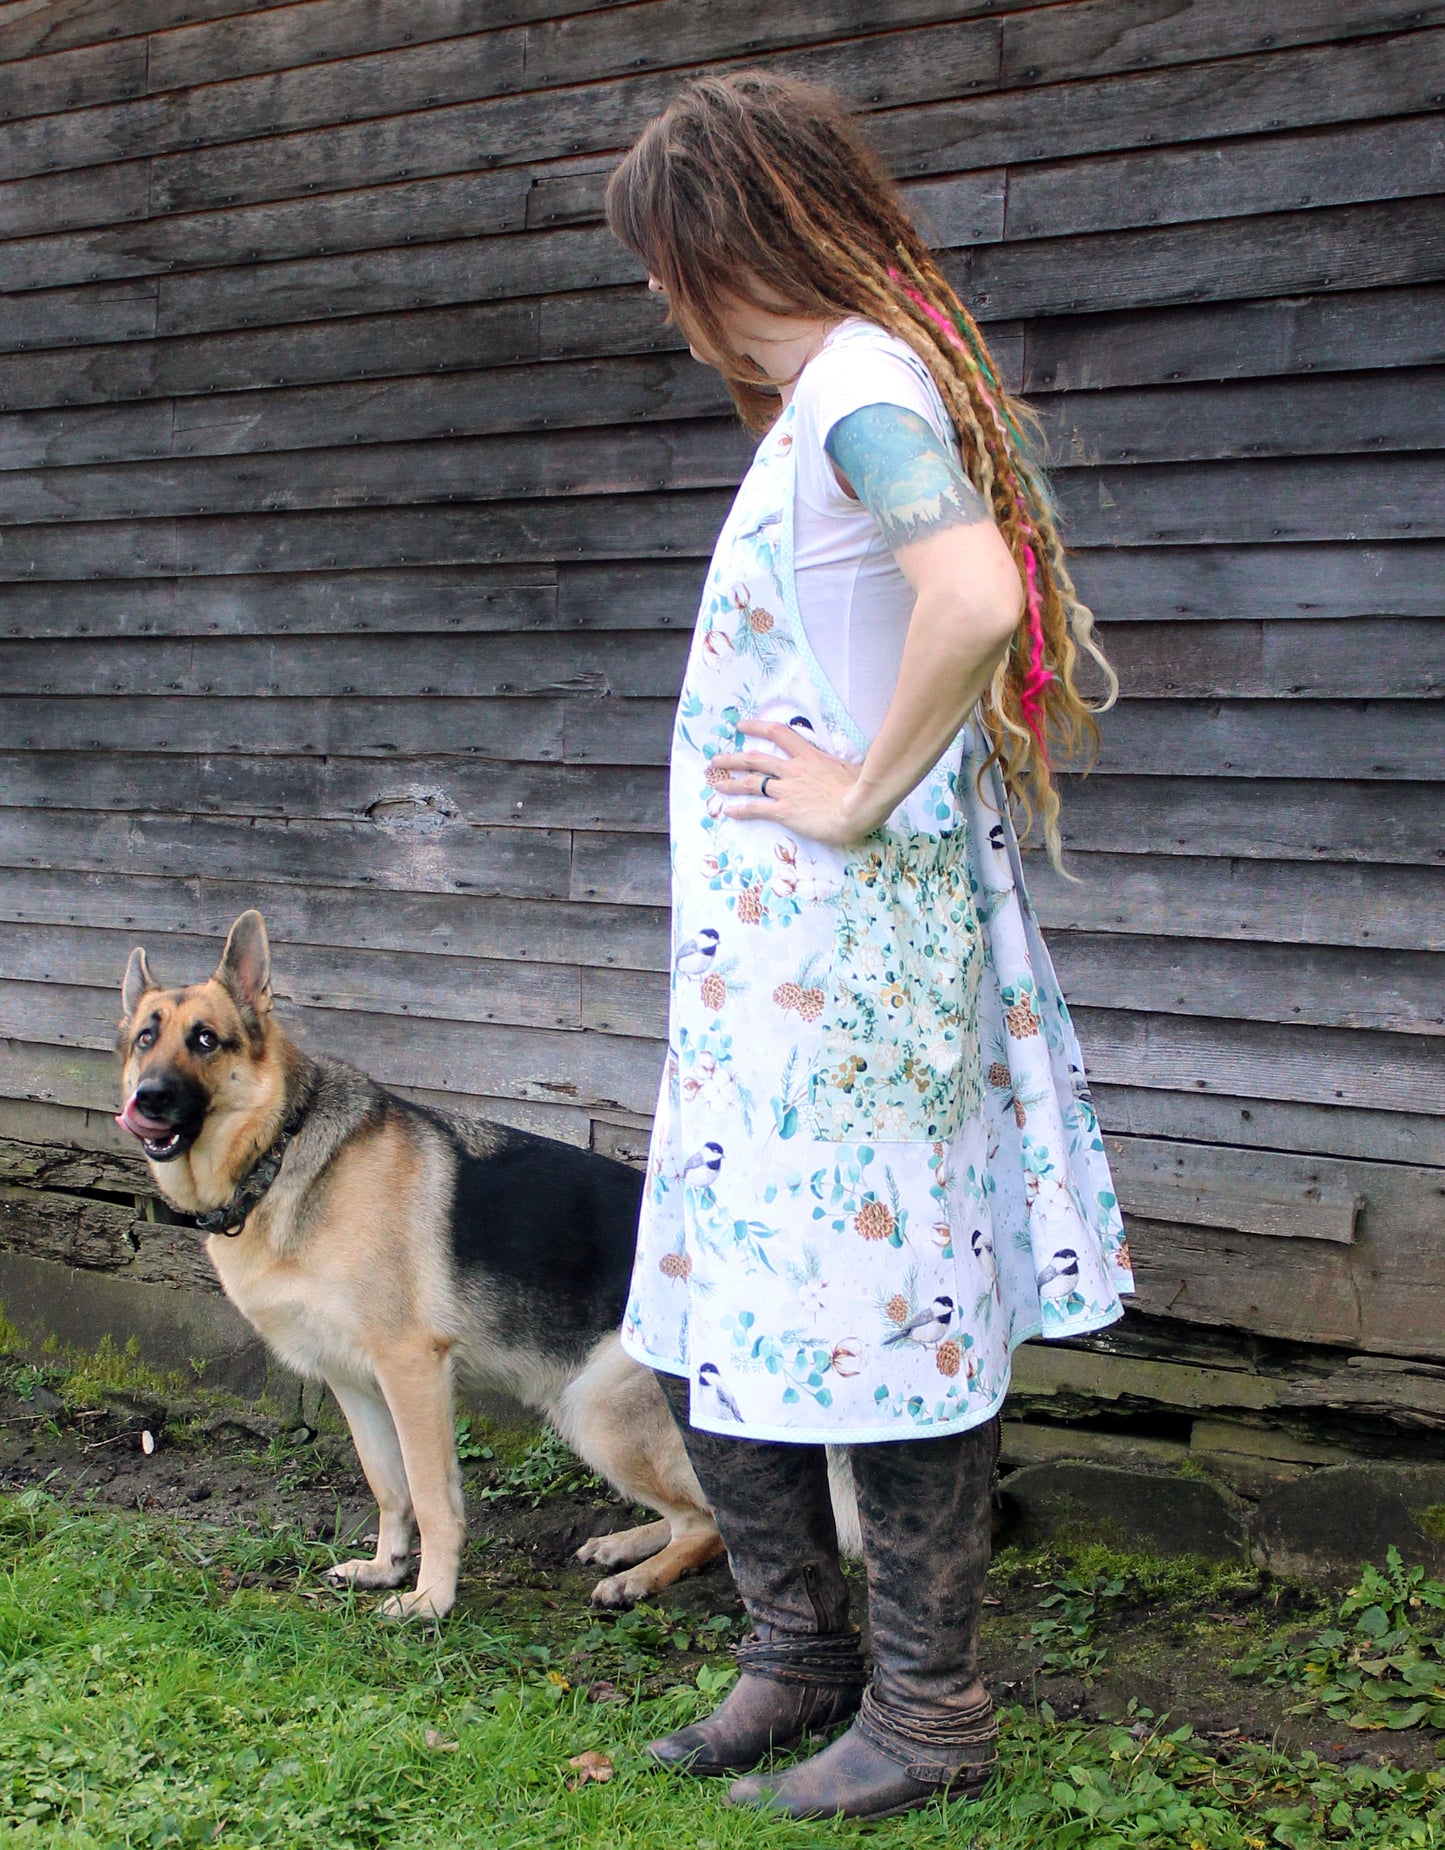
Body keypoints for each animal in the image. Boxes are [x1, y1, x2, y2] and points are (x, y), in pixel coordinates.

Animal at [111, 913, 721, 1620]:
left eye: (205, 1039)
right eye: (146, 1038)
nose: (147, 1099)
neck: (280, 1151)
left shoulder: (412, 1370)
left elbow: (432, 1498)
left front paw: (431, 1599)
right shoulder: (352, 1381)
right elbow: (387, 1485)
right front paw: (386, 1567)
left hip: (597, 1409)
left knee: (709, 1523)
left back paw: (640, 1576)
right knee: (691, 1514)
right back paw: (625, 1546)